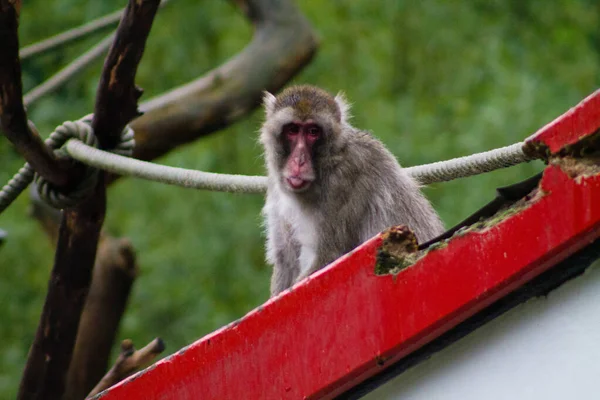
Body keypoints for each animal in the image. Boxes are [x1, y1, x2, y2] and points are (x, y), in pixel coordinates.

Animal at [260, 84, 442, 296]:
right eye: (293, 130)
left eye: (313, 131)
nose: (299, 161)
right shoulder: (275, 184)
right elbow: (285, 262)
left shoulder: (345, 178)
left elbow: (329, 257)